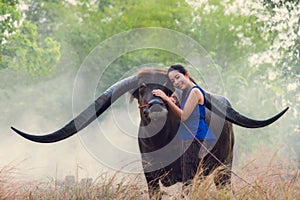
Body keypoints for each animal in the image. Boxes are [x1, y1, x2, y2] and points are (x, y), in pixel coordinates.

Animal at [11, 68, 288, 198]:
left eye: (168, 89)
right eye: (142, 88)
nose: (156, 105)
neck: (162, 143)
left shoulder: (189, 176)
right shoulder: (151, 178)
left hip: (224, 170)